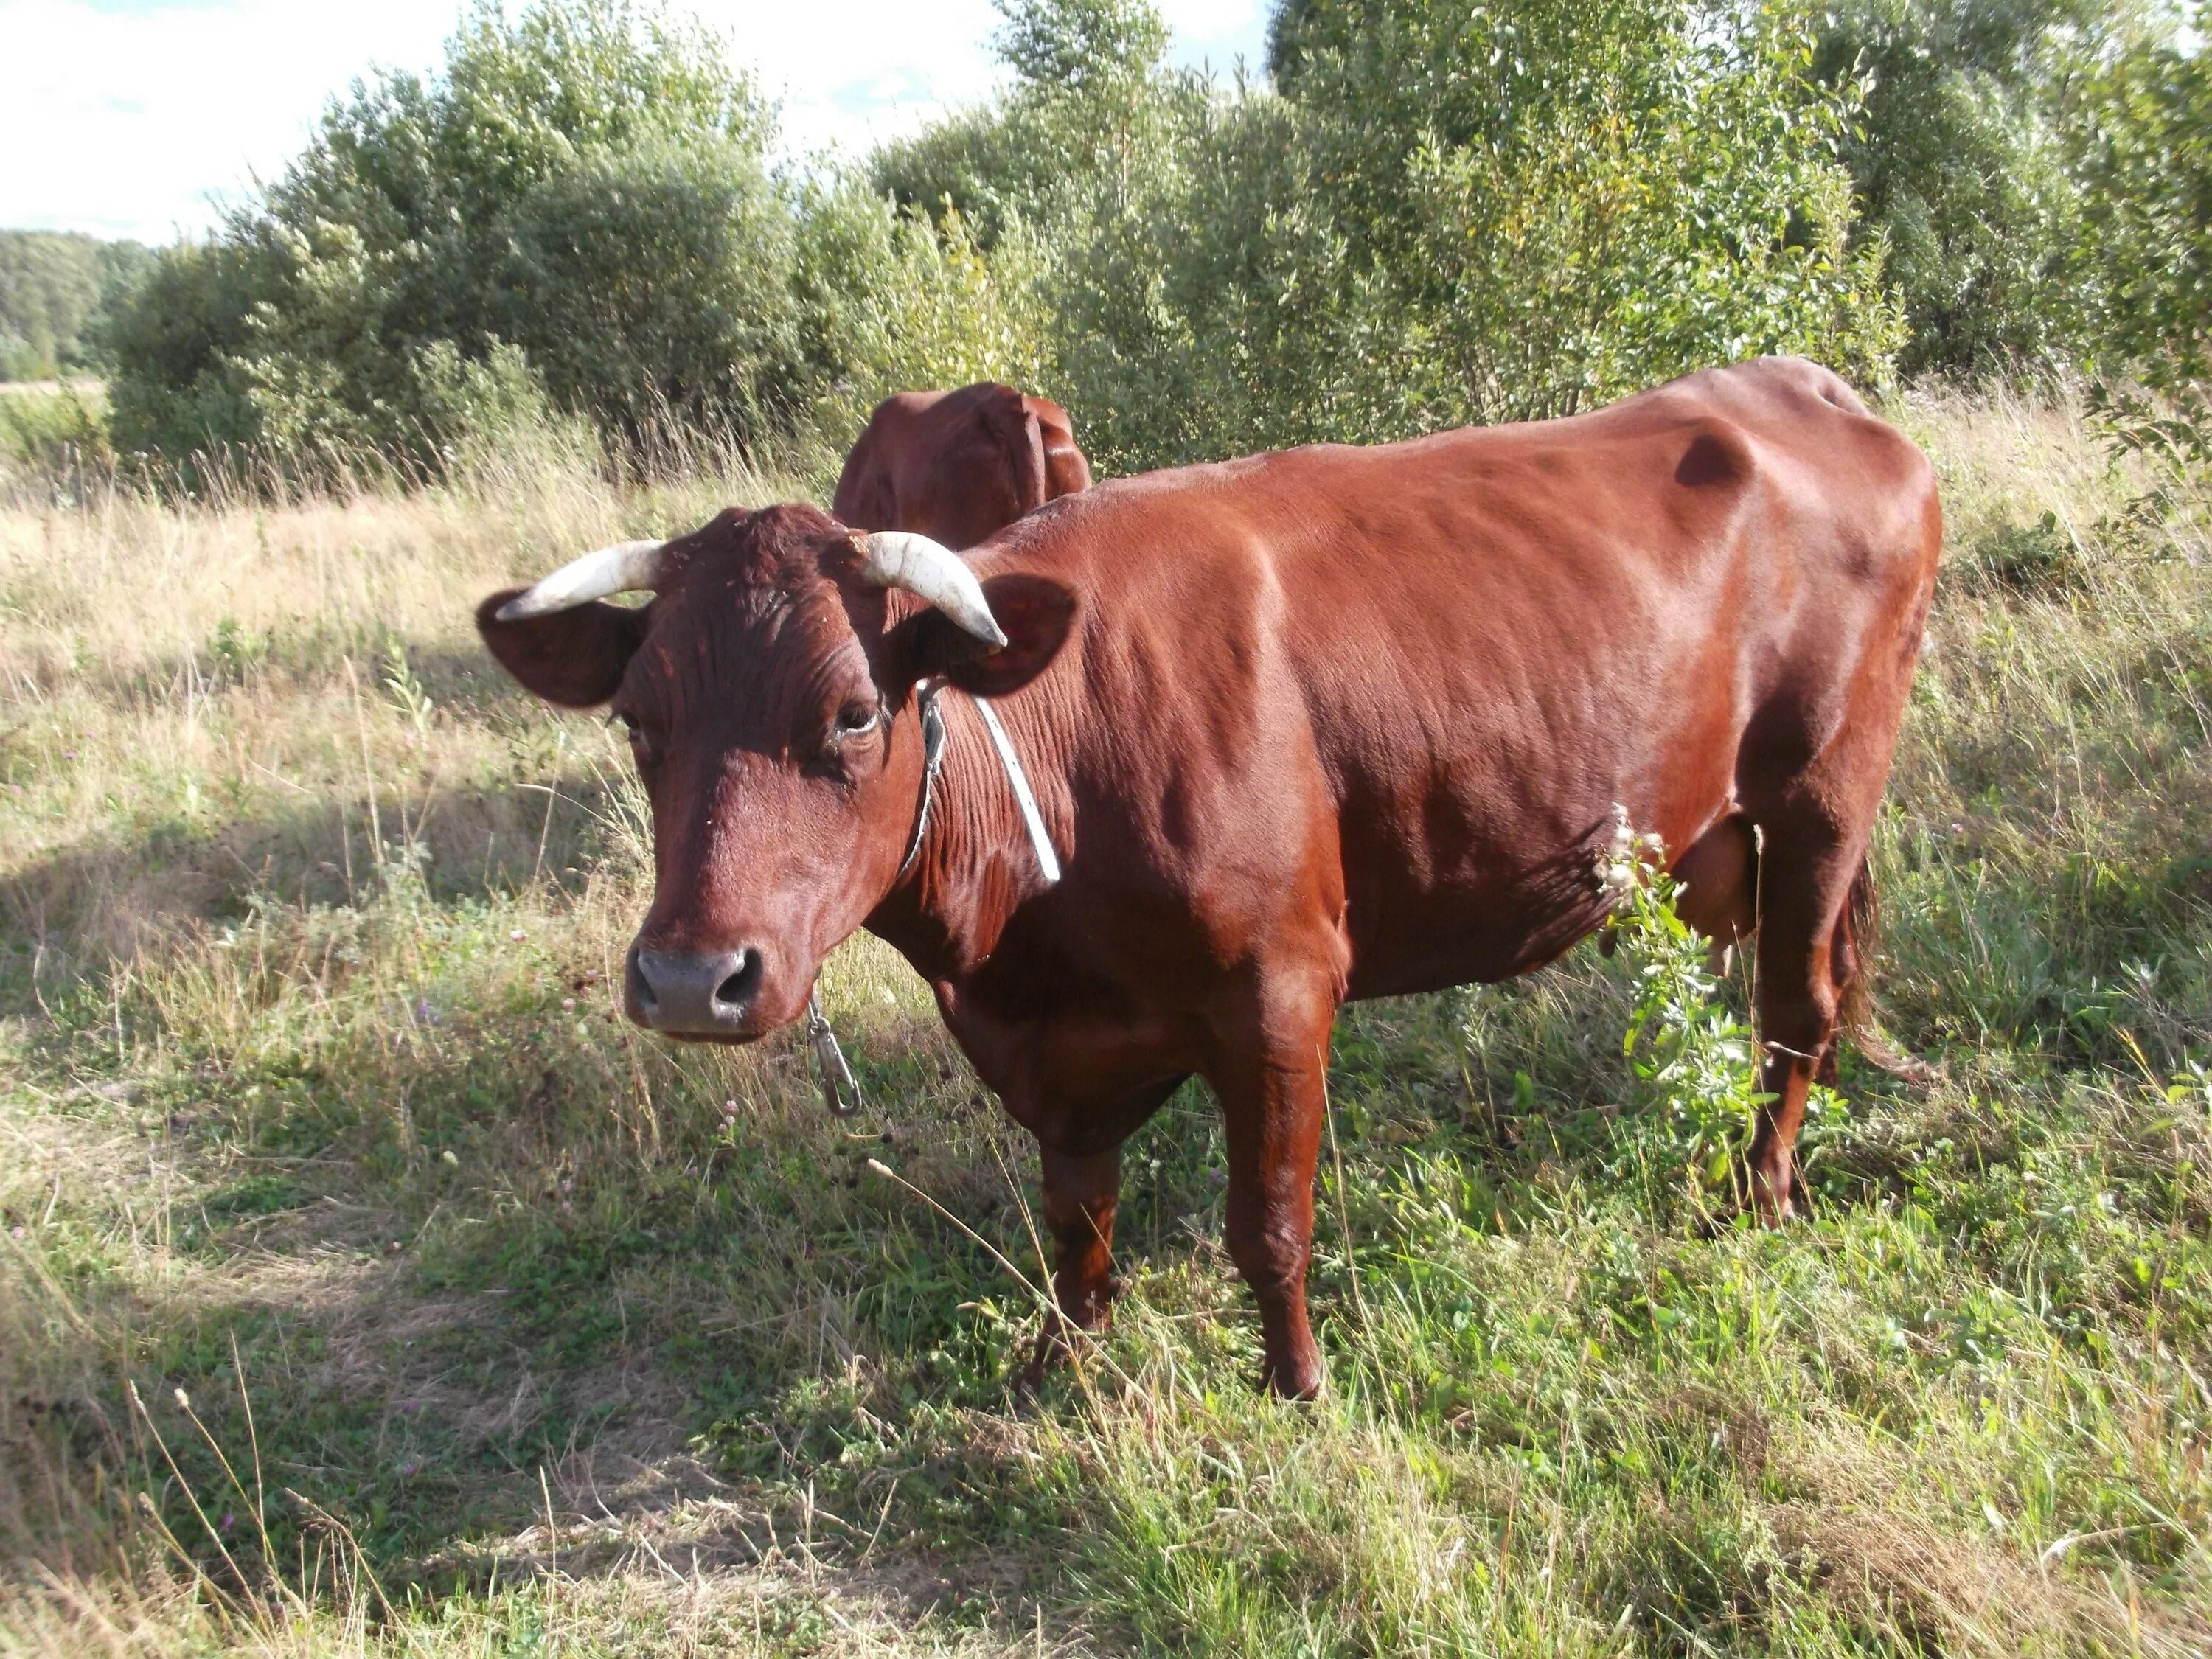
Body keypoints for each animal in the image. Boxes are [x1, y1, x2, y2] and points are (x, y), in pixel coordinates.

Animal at [480, 361, 1938, 1407]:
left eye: (851, 712)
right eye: (638, 719)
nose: (690, 979)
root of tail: (1803, 385)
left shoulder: (1283, 987)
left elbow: (1268, 1227)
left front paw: (1299, 1387)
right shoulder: (1047, 1042)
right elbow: (1076, 1221)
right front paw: (1057, 1367)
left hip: (1827, 793)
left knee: (1797, 1006)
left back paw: (1757, 1196)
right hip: (1716, 836)